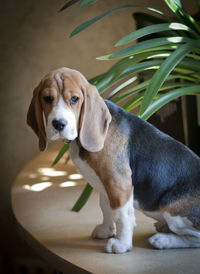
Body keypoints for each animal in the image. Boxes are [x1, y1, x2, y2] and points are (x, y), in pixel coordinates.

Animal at [27, 67, 200, 254]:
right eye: (47, 98)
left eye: (74, 99)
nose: (59, 124)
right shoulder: (105, 183)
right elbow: (106, 207)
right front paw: (106, 230)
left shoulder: (118, 182)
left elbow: (121, 215)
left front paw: (122, 244)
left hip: (172, 209)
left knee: (194, 238)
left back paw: (163, 240)